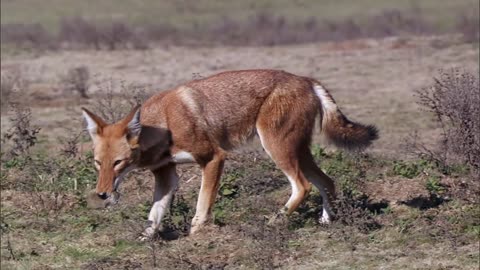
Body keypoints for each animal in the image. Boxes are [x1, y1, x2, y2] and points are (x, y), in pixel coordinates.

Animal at [80, 70, 376, 238]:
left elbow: (202, 204)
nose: (102, 194)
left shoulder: (214, 158)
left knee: (303, 187)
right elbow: (154, 215)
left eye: (118, 163)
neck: (165, 124)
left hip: (277, 150)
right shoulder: (166, 176)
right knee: (327, 182)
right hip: (299, 153)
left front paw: (196, 234)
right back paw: (326, 222)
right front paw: (145, 241)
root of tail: (307, 80)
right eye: (97, 163)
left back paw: (273, 222)